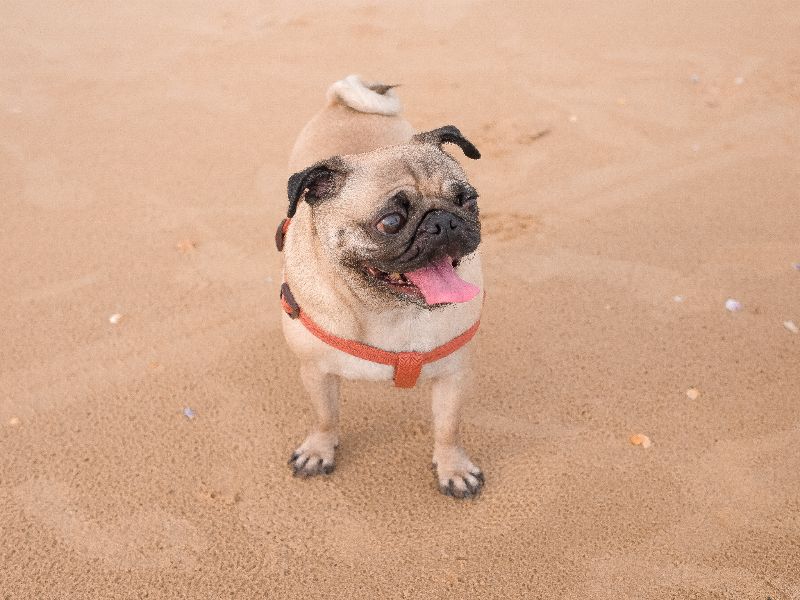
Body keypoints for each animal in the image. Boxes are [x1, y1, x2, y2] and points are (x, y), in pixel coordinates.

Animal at [278, 75, 484, 496]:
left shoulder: (453, 375)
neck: (390, 309)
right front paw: (319, 449)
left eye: (467, 200)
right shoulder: (316, 372)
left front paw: (453, 467)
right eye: (390, 222)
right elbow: (325, 417)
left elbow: (448, 428)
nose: (444, 221)